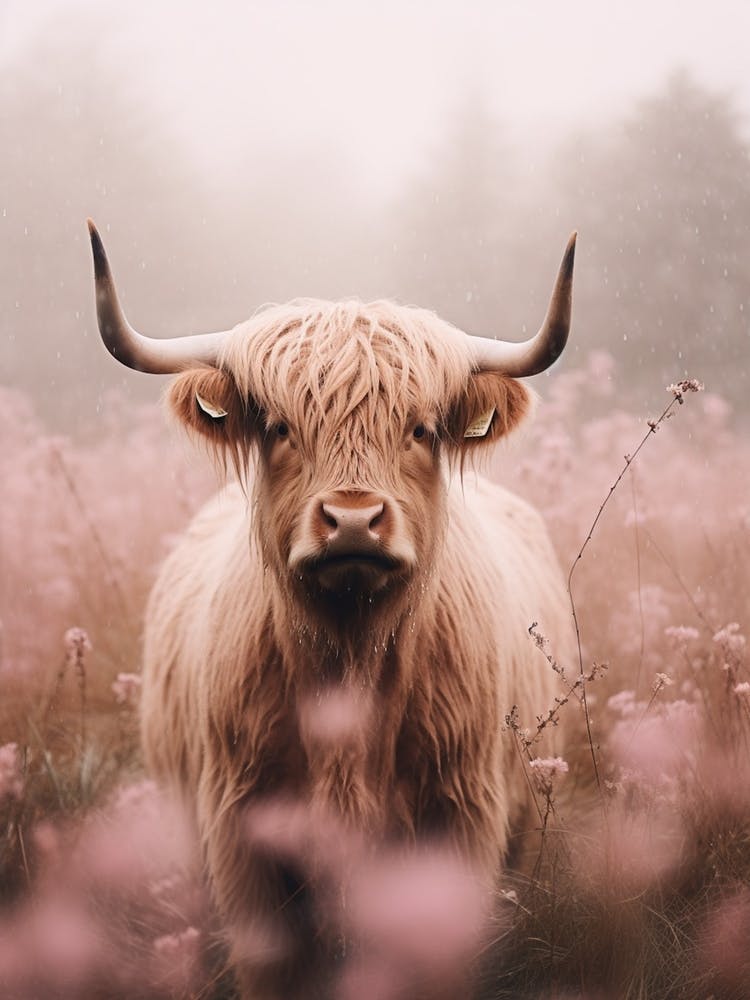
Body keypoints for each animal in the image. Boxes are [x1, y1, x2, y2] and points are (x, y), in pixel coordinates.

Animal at [87, 220, 577, 999]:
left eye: (421, 429)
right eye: (279, 427)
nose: (352, 520)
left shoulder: (462, 816)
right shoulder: (240, 831)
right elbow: (275, 965)